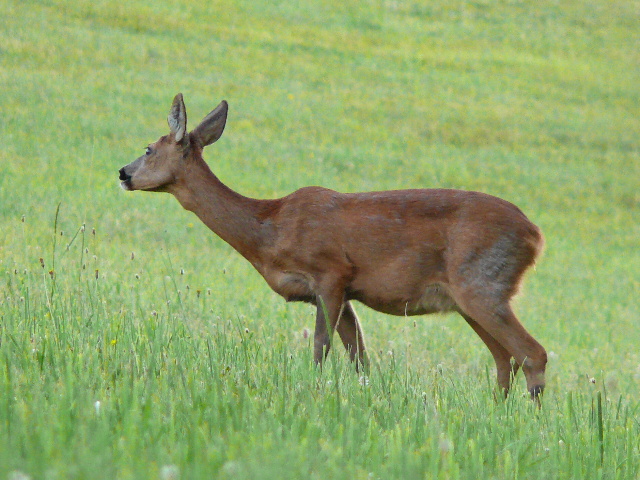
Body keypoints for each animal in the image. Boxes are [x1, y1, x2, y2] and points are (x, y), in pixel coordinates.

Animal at [121, 93, 552, 398]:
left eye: (147, 149)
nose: (122, 173)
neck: (269, 231)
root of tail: (535, 235)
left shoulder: (330, 272)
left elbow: (321, 347)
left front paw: (312, 391)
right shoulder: (342, 292)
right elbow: (360, 358)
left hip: (482, 282)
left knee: (532, 353)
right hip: (471, 298)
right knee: (505, 359)